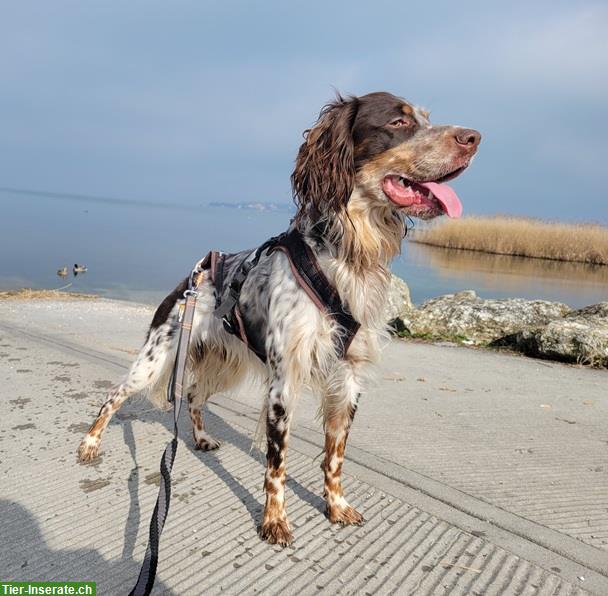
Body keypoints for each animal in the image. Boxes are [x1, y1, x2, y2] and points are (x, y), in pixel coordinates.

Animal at [79, 92, 480, 544]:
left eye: (427, 118)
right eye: (398, 121)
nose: (474, 137)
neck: (343, 254)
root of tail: (196, 273)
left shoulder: (348, 378)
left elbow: (335, 457)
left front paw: (336, 506)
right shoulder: (283, 380)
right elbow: (277, 465)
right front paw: (274, 521)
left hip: (226, 365)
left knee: (194, 396)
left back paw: (201, 438)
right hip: (156, 357)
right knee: (114, 396)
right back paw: (90, 444)